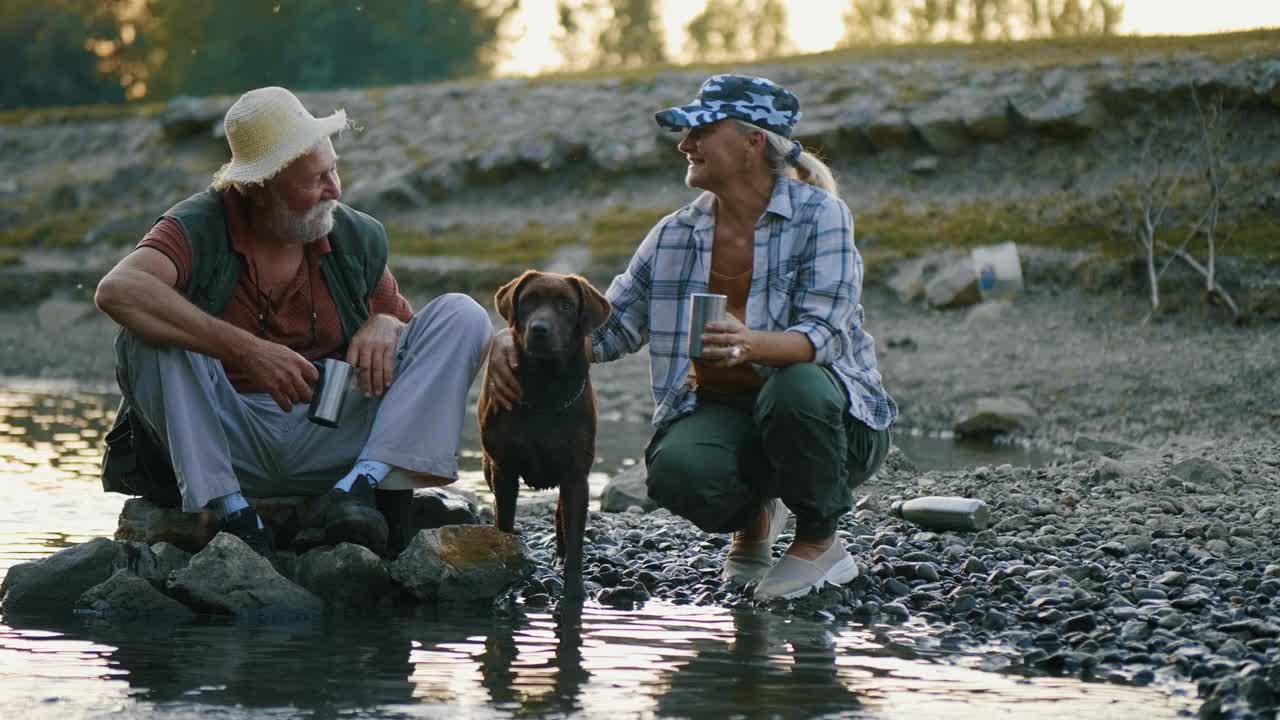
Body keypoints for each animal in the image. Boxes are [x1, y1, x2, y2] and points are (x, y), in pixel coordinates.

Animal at [481, 267, 609, 594]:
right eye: (527, 301)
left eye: (565, 305)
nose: (539, 329)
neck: (545, 389)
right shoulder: (504, 469)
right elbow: (503, 521)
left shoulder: (576, 475)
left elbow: (575, 537)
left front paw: (574, 592)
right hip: (489, 467)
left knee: (561, 516)